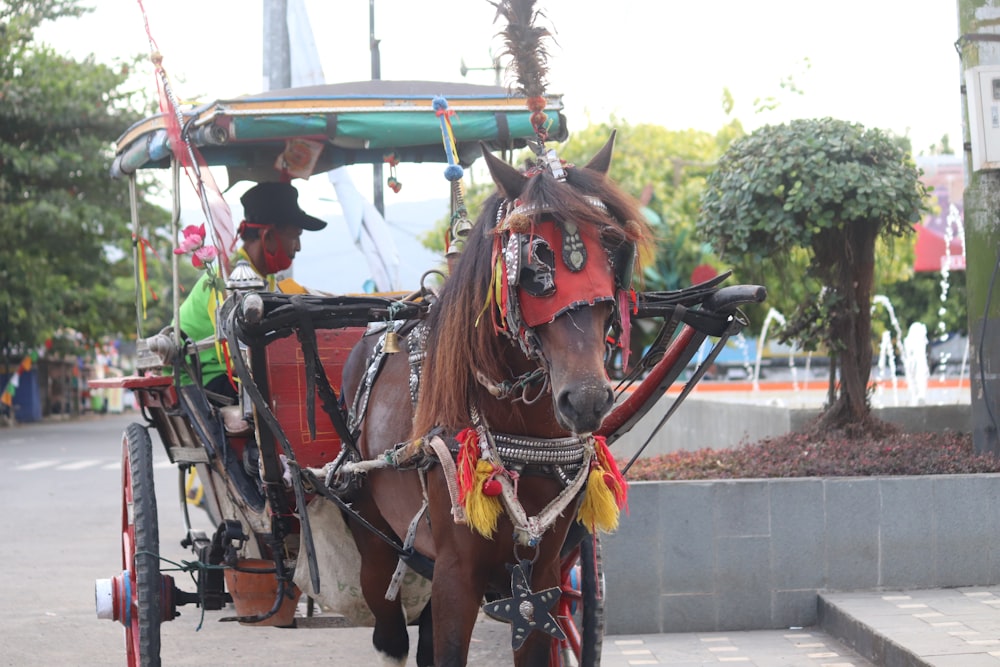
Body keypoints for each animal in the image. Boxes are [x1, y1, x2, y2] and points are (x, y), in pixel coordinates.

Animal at [342, 136, 648, 667]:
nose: (587, 398)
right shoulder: (455, 575)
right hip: (372, 536)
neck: (524, 432)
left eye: (613, 247)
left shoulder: (539, 586)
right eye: (534, 262)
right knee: (390, 632)